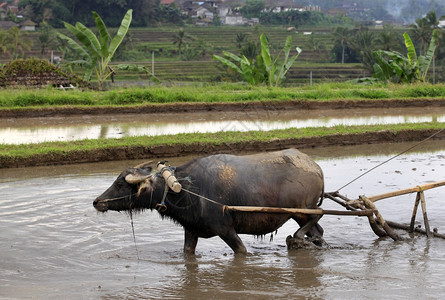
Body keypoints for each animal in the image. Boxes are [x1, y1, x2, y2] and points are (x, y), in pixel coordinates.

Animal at [93, 149, 322, 254]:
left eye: (120, 184)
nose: (97, 202)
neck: (187, 189)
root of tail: (315, 167)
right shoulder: (191, 230)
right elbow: (187, 252)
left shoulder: (226, 229)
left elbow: (241, 251)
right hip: (300, 214)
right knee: (317, 231)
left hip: (302, 210)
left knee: (316, 219)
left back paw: (298, 238)